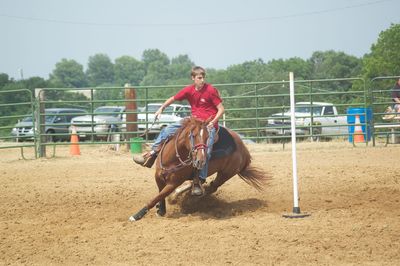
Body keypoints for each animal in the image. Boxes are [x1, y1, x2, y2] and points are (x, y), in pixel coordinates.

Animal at [130, 117, 270, 221]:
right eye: (193, 135)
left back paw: (191, 199)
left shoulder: (173, 183)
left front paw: (136, 215)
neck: (172, 158)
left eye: (208, 137)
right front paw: (161, 209)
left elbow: (157, 197)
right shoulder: (158, 177)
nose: (201, 159)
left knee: (211, 187)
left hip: (225, 174)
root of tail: (244, 150)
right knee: (201, 182)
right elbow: (160, 195)